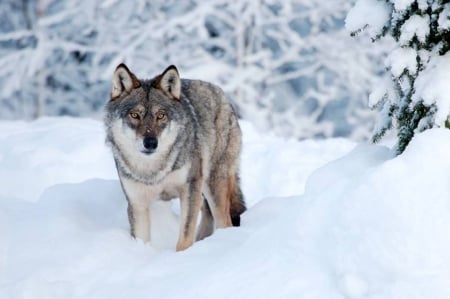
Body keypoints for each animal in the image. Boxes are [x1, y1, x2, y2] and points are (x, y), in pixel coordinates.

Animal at [103, 64, 246, 252]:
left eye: (160, 116)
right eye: (134, 115)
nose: (151, 143)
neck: (153, 171)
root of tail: (220, 93)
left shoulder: (189, 190)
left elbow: (184, 238)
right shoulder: (137, 203)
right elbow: (141, 240)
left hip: (213, 186)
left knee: (225, 221)